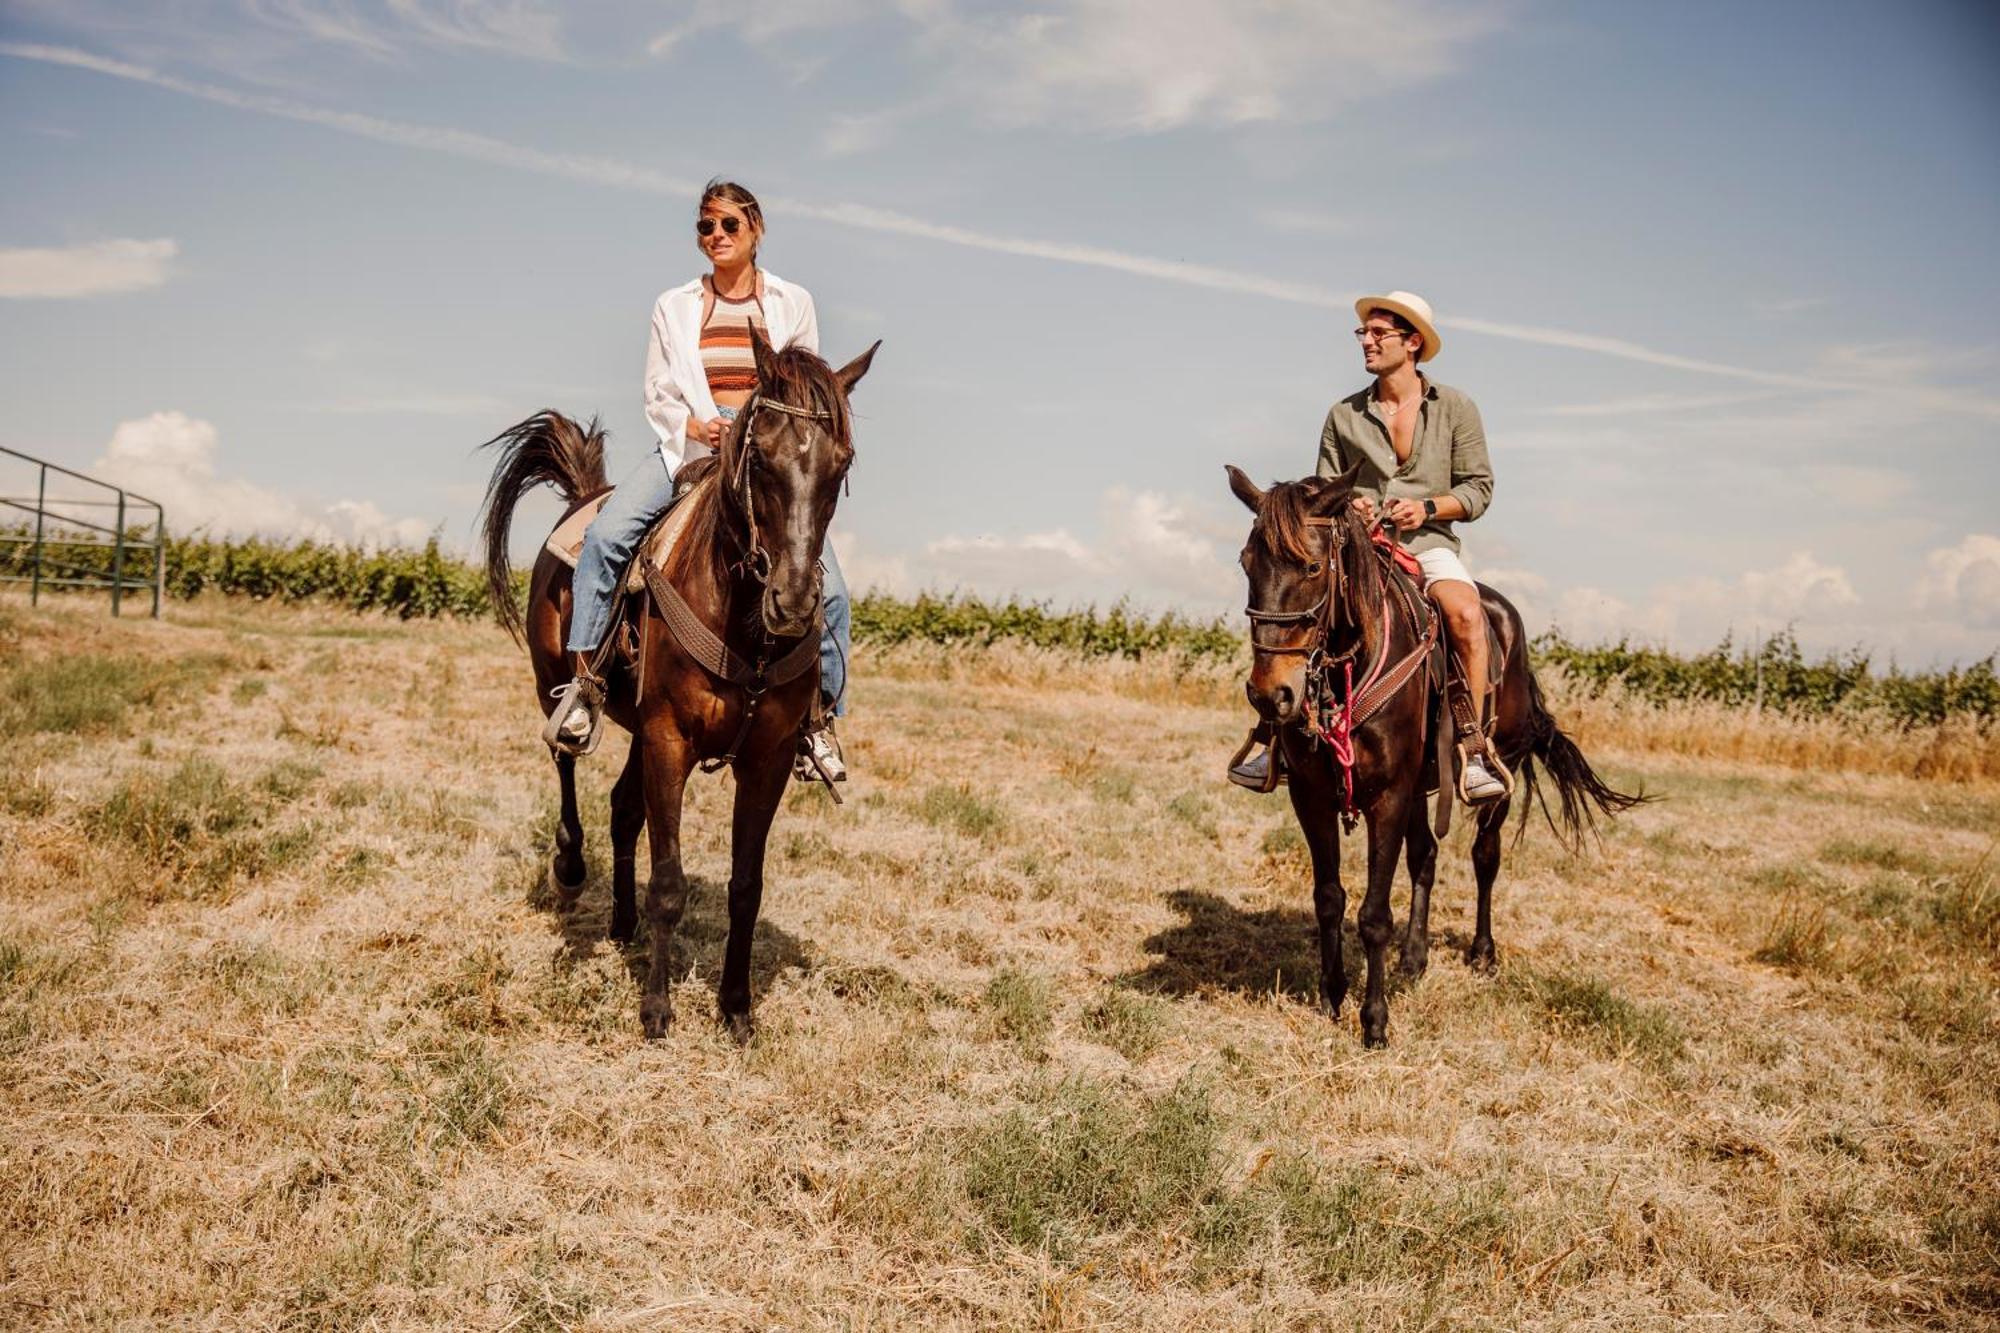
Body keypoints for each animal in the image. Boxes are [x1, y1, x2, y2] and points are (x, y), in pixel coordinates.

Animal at [480, 326, 880, 1032]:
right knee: (566, 758)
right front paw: (657, 1008)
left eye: (843, 463)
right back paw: (571, 866)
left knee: (622, 809)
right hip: (557, 683)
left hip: (640, 729)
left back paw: (622, 925)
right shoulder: (670, 740)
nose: (794, 602)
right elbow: (668, 881)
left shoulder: (767, 758)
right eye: (761, 457)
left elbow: (746, 886)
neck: (743, 627)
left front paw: (736, 1008)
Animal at [1216, 462, 1640, 1040]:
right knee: (1426, 857)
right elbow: (1329, 898)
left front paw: (1374, 1021)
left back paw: (1483, 952)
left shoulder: (1389, 797)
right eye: (1246, 563)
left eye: (1312, 566)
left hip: (1494, 775)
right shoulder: (1312, 795)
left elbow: (1374, 915)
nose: (1271, 695)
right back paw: (1414, 958)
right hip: (1421, 787)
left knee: (1485, 856)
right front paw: (1332, 993)